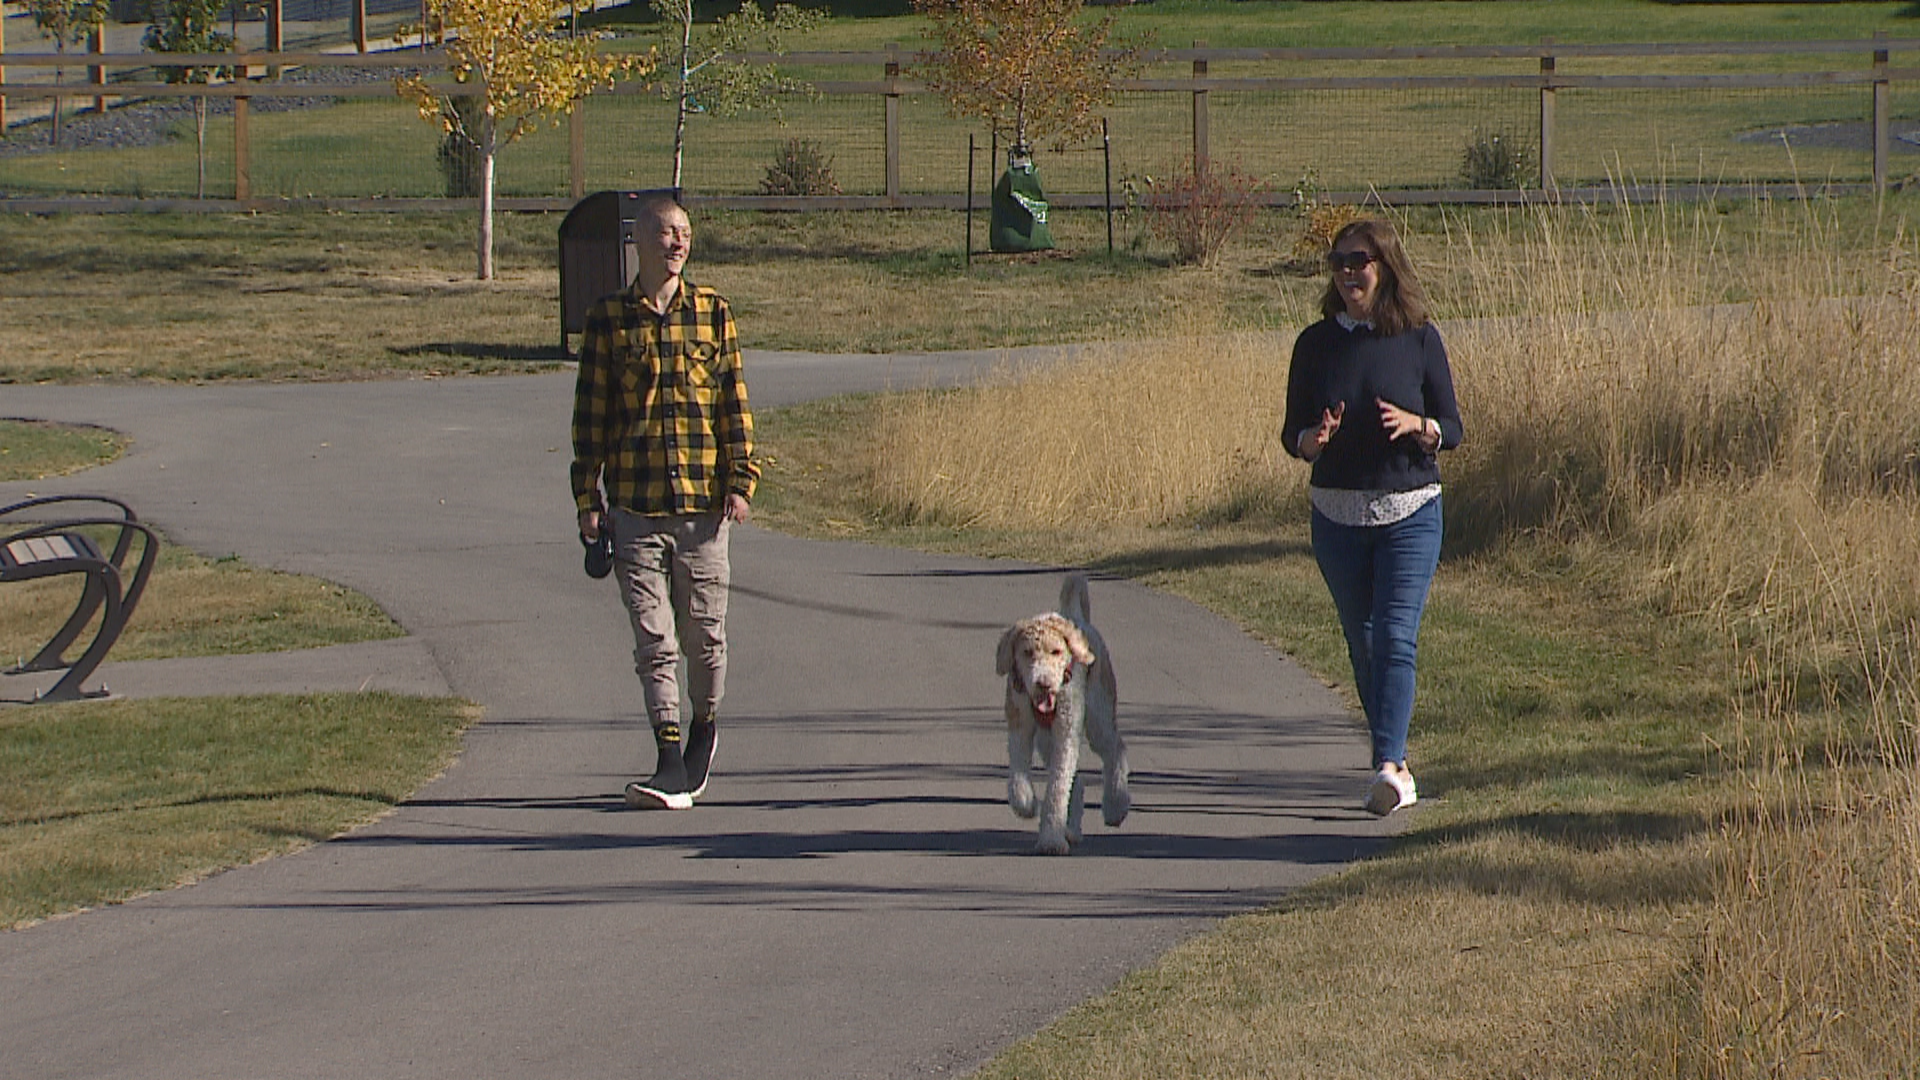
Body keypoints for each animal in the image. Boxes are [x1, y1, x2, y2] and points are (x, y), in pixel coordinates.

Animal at [998, 572, 1128, 849]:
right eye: (1027, 652)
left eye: (1056, 651)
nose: (1043, 683)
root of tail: (1076, 617)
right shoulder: (1020, 727)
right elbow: (1019, 774)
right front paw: (1026, 804)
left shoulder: (1067, 733)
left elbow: (1057, 788)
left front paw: (1051, 840)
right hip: (1046, 739)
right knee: (1076, 783)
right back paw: (1072, 830)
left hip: (1098, 716)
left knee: (1116, 750)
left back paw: (1116, 804)